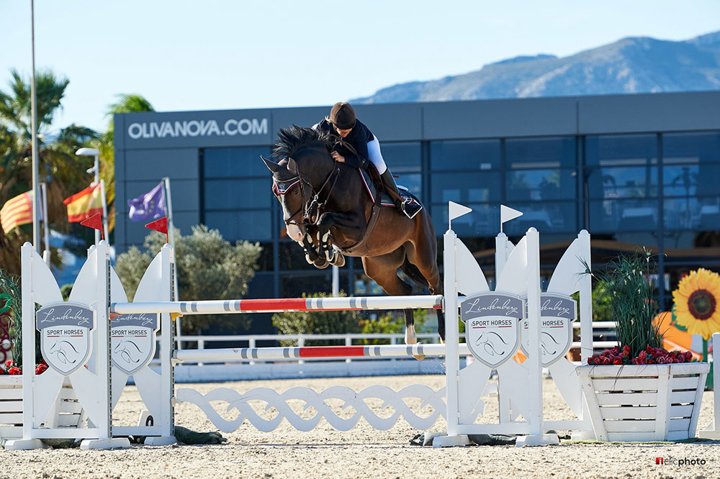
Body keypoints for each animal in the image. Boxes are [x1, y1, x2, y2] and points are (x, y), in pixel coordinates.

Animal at [262, 124, 444, 356]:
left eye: (295, 190)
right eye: (276, 192)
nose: (292, 231)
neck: (330, 180)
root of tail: (422, 210)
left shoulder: (357, 228)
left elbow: (325, 220)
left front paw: (326, 252)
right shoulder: (311, 218)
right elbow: (312, 228)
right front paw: (319, 254)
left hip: (422, 254)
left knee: (436, 288)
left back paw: (442, 337)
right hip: (379, 267)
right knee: (406, 291)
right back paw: (412, 341)